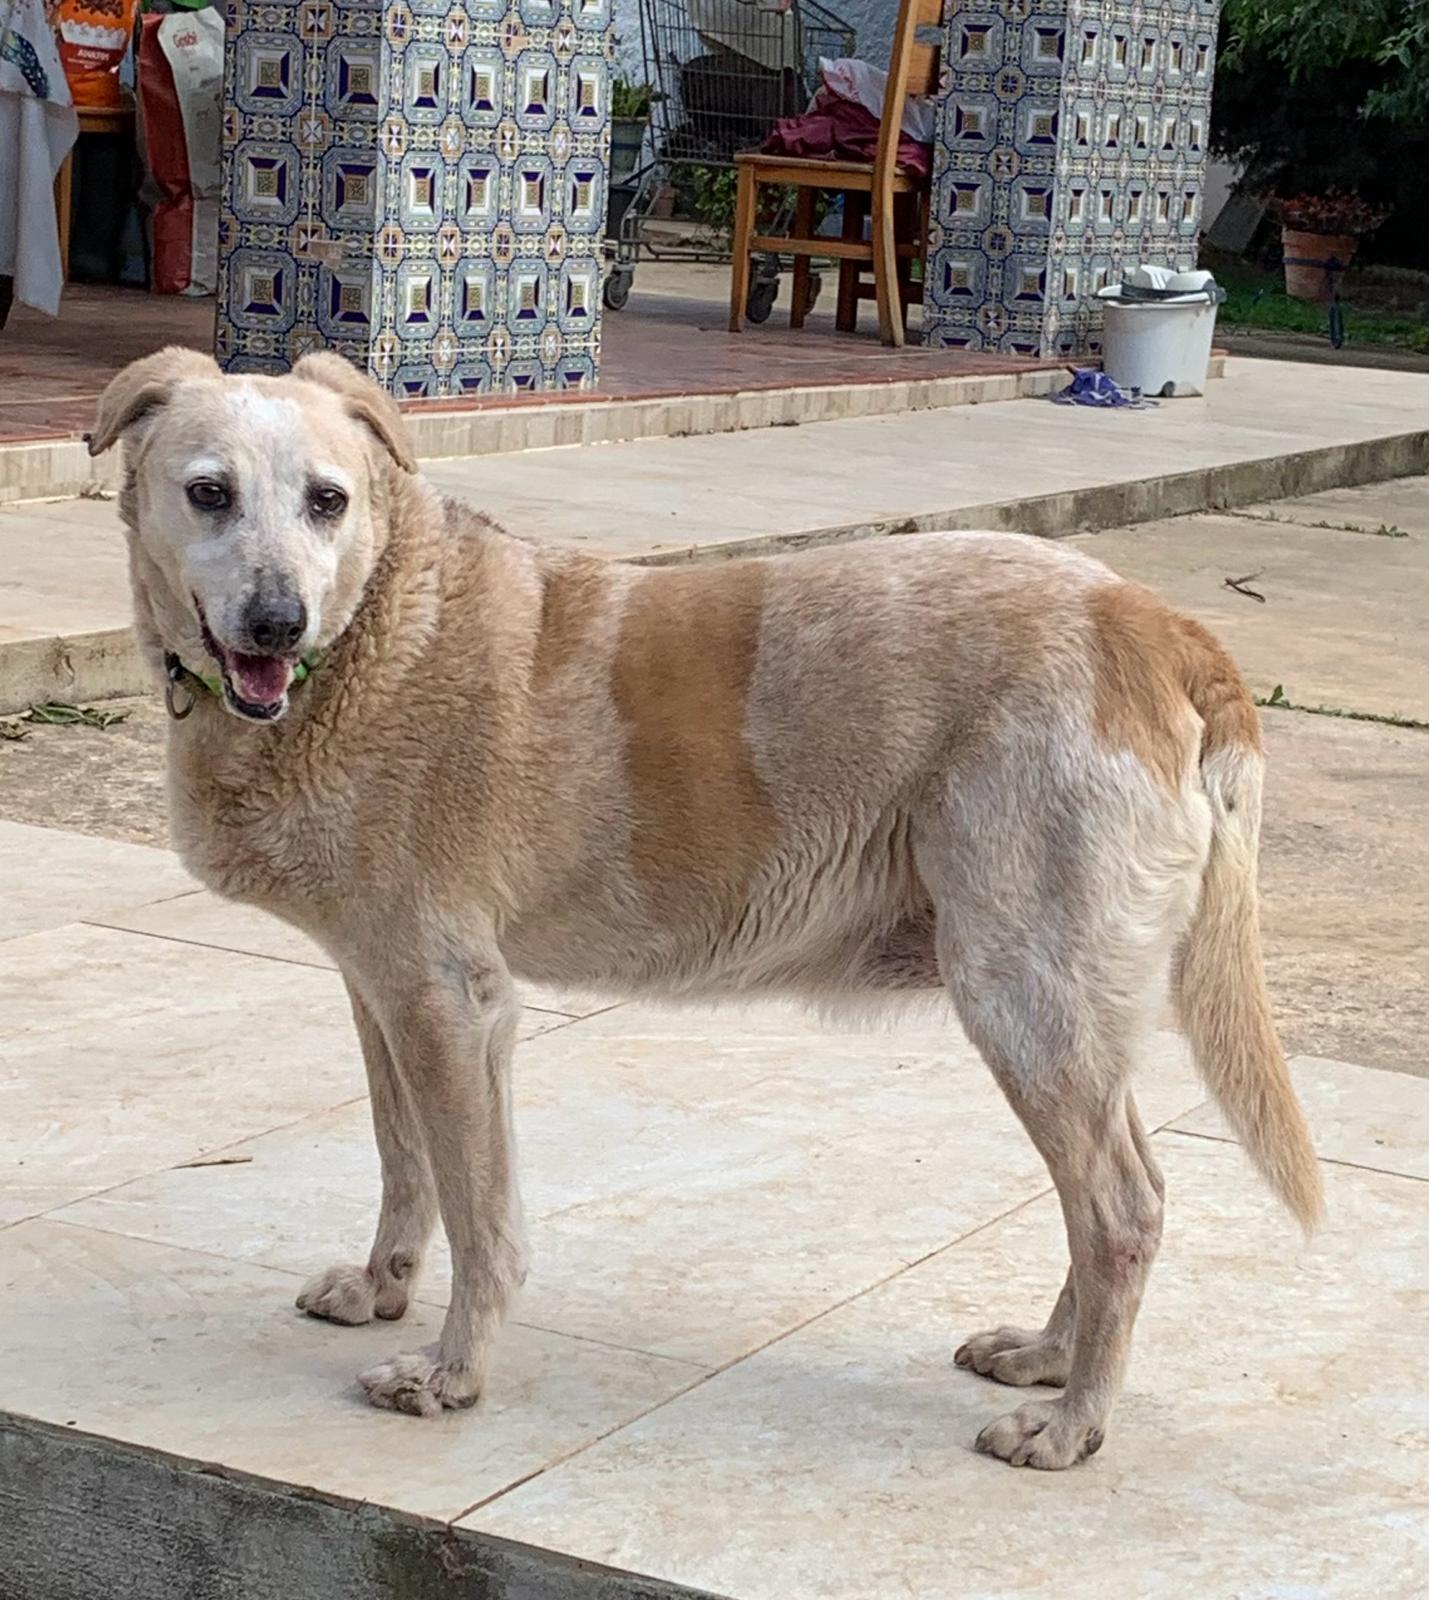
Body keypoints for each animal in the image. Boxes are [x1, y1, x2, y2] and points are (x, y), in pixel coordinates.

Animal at [89, 348, 1321, 1470]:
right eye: (209, 492)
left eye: (327, 501)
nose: (276, 623)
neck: (379, 622)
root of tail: (1153, 621)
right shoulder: (381, 991)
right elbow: (407, 1168)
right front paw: (380, 1289)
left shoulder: (455, 1008)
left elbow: (482, 1214)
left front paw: (453, 1374)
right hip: (1066, 1011)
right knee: (1116, 1190)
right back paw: (1050, 1359)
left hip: (1023, 995)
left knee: (1121, 1209)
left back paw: (1073, 1425)